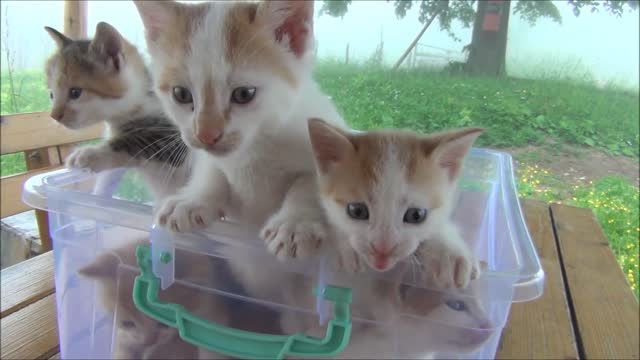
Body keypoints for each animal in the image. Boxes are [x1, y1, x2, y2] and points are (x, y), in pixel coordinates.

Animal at [44, 22, 190, 201]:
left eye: (75, 92)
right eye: (51, 94)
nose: (54, 116)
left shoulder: (174, 138)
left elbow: (133, 141)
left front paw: (88, 154)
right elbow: (108, 178)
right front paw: (97, 197)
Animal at [134, 0, 344, 262]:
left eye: (244, 94)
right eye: (180, 94)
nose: (206, 135)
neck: (254, 150)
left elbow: (311, 182)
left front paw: (295, 223)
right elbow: (212, 170)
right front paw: (192, 199)